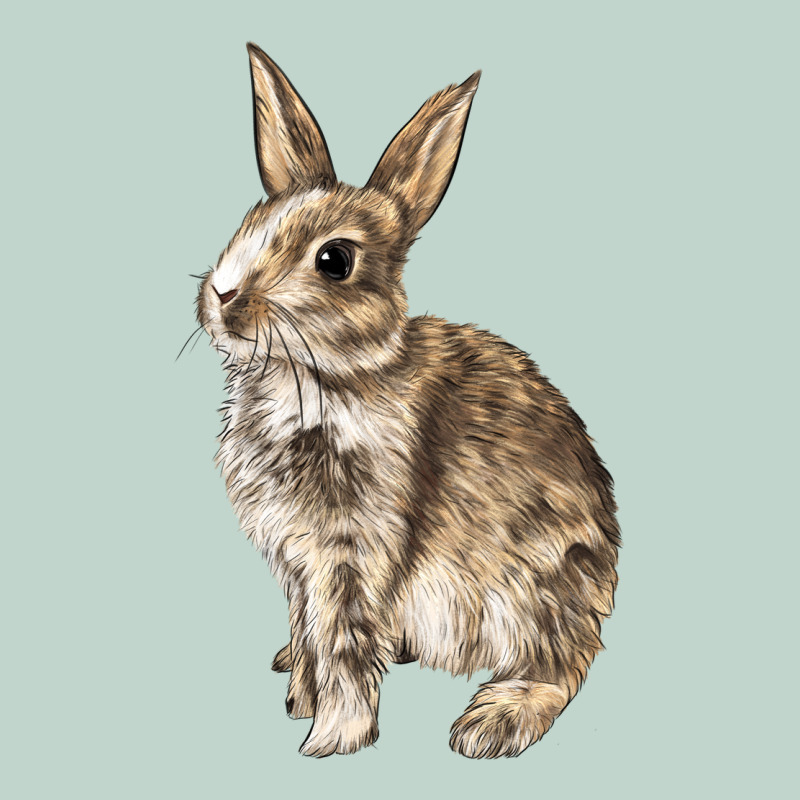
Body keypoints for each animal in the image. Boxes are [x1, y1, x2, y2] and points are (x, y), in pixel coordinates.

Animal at [194, 42, 620, 759]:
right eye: (248, 223)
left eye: (334, 260)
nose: (223, 296)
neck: (322, 377)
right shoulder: (298, 563)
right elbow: (309, 633)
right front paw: (299, 695)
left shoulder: (351, 553)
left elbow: (340, 645)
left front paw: (330, 739)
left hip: (531, 594)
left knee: (561, 668)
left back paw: (490, 723)